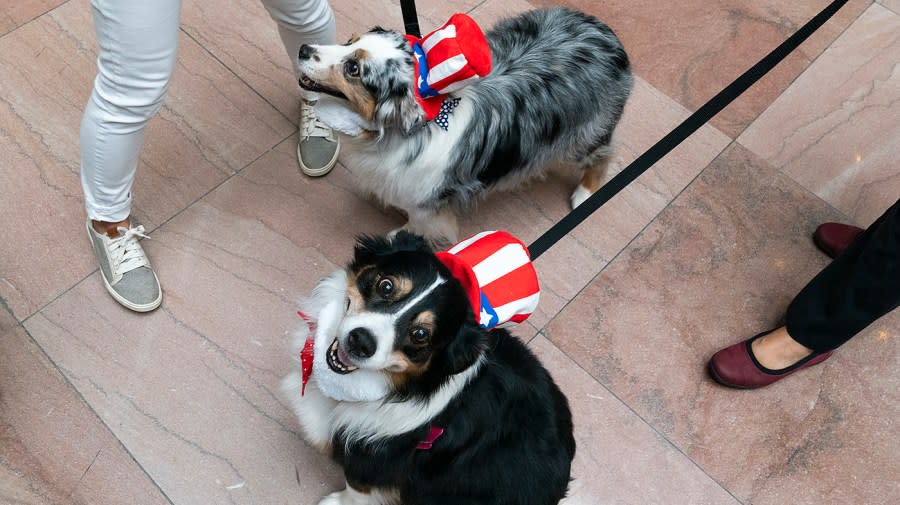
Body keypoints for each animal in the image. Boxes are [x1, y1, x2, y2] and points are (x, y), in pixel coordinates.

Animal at [284, 231, 572, 504]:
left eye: (421, 334)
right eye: (386, 285)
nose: (361, 342)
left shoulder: (381, 461)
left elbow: (357, 488)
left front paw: (336, 501)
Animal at [298, 7, 632, 244]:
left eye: (353, 68)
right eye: (349, 41)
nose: (302, 49)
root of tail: (610, 36)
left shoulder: (426, 202)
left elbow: (420, 224)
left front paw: (401, 235)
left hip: (586, 132)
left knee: (603, 154)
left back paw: (585, 194)